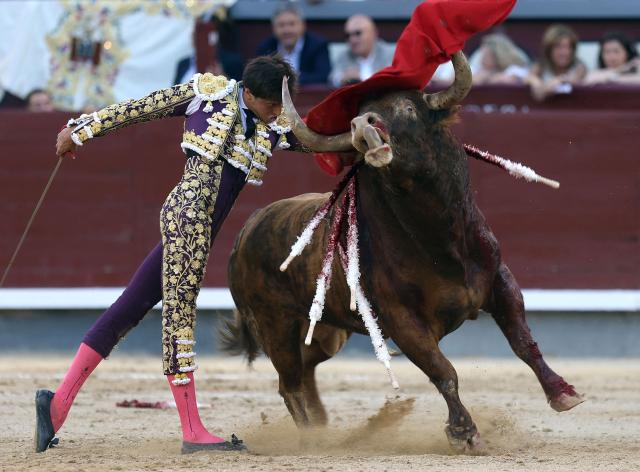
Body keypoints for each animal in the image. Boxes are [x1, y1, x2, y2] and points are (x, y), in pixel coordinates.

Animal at [222, 52, 583, 453]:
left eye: (408, 109)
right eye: (357, 116)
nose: (362, 125)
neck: (439, 239)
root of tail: (247, 228)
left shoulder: (501, 282)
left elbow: (523, 343)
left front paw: (563, 393)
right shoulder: (402, 321)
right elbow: (443, 371)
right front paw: (465, 433)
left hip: (327, 330)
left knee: (307, 366)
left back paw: (324, 427)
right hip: (275, 324)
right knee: (290, 384)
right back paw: (312, 439)